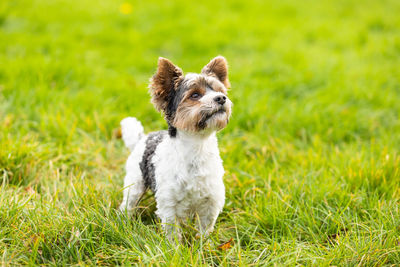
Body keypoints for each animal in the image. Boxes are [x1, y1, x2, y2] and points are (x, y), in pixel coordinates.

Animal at [119, 55, 231, 242]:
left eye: (220, 91)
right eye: (195, 95)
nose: (221, 98)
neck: (197, 147)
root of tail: (143, 138)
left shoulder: (210, 203)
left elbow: (204, 231)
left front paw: (203, 246)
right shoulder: (169, 204)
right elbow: (173, 234)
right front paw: (175, 249)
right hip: (135, 184)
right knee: (128, 204)